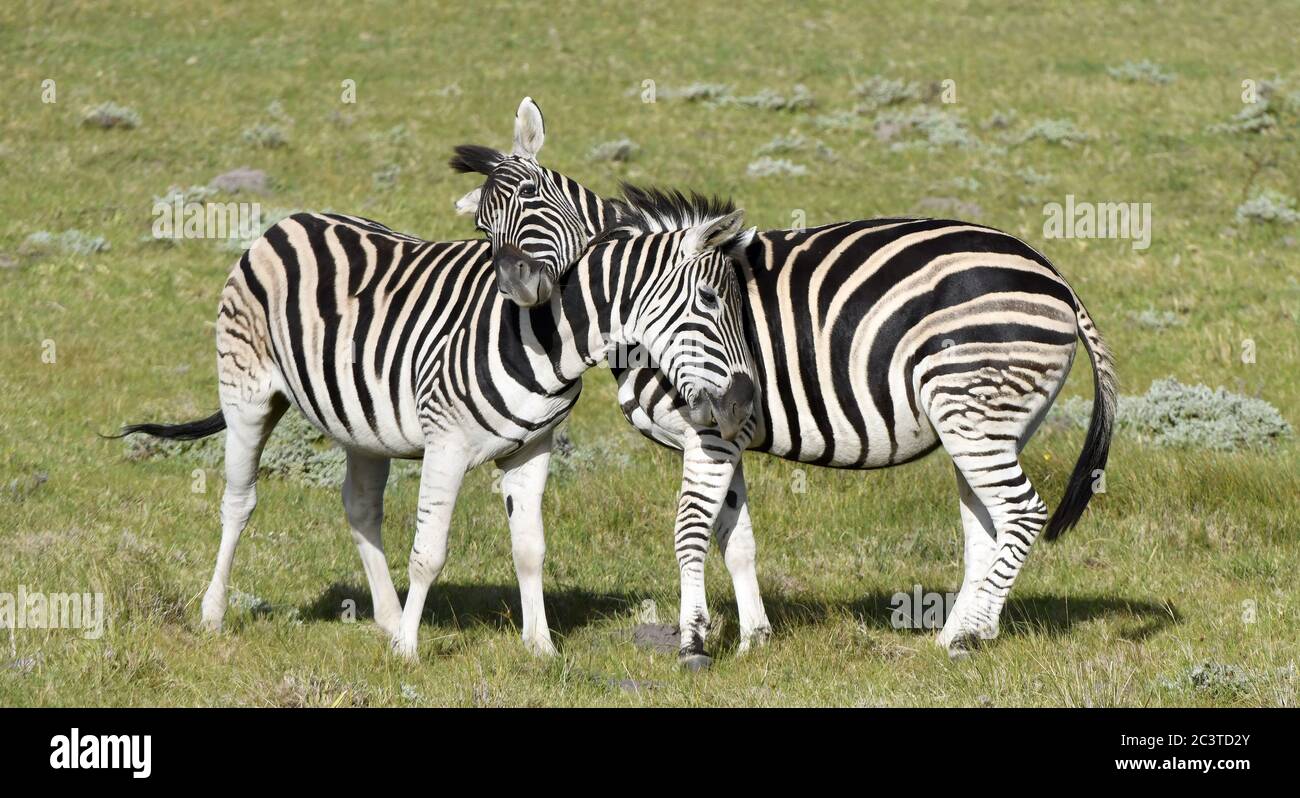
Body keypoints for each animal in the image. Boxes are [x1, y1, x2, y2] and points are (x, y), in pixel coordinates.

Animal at [119, 98, 759, 662]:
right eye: (481, 225)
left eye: (534, 195)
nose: (518, 284)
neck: (552, 340)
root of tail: (290, 220)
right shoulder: (445, 443)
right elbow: (428, 552)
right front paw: (408, 650)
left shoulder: (533, 447)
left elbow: (530, 549)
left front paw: (539, 647)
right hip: (247, 394)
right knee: (239, 501)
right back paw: (215, 615)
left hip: (361, 422)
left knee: (360, 507)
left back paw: (384, 617)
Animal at [452, 123, 1112, 662]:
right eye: (483, 226)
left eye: (536, 202)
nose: (517, 284)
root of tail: (1052, 274)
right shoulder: (727, 429)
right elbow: (735, 538)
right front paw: (753, 640)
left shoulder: (711, 427)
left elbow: (690, 528)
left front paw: (693, 642)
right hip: (990, 422)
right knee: (986, 523)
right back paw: (964, 632)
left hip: (972, 406)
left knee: (1020, 512)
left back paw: (963, 639)